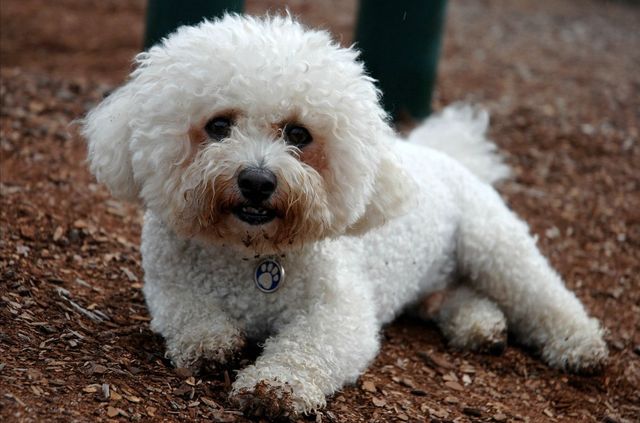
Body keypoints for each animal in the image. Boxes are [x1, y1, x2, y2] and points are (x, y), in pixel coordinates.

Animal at [82, 14, 608, 420]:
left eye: (298, 134)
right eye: (217, 126)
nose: (257, 180)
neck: (249, 253)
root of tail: (445, 154)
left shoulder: (341, 312)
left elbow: (310, 346)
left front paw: (276, 386)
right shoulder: (169, 286)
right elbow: (190, 316)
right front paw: (210, 343)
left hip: (494, 246)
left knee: (542, 295)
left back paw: (579, 344)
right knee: (454, 295)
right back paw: (479, 324)